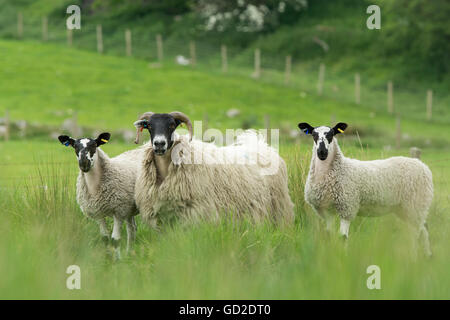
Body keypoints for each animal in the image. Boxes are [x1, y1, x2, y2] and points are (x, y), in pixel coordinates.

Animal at [133, 111, 296, 226]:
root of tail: (261, 145)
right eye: (149, 126)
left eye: (172, 125)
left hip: (278, 208)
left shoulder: (195, 211)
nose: (159, 144)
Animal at [298, 121, 432, 256]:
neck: (338, 170)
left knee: (418, 232)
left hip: (416, 203)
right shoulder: (327, 210)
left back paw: (416, 256)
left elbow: (343, 238)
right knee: (421, 229)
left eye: (331, 134)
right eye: (313, 135)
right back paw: (425, 256)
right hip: (406, 208)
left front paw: (342, 257)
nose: (322, 152)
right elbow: (329, 235)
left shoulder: (347, 207)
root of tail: (423, 166)